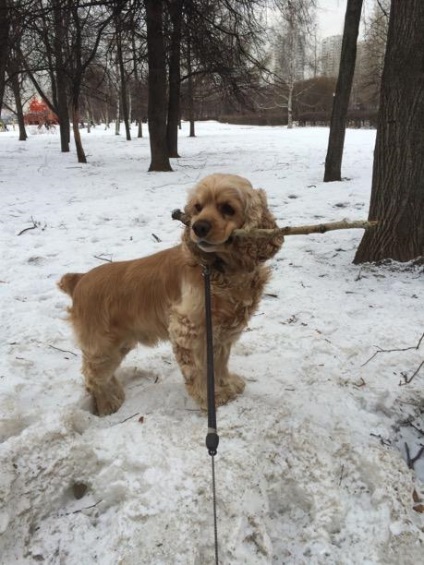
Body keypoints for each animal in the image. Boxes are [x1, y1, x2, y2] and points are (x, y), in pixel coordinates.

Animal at [58, 173, 284, 414]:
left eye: (227, 208)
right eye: (197, 207)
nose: (198, 227)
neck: (220, 270)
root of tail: (79, 279)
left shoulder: (222, 332)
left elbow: (220, 363)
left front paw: (227, 386)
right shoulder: (188, 329)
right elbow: (200, 370)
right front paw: (210, 399)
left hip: (120, 344)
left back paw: (116, 396)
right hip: (103, 347)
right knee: (92, 377)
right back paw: (108, 404)